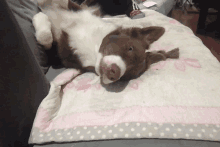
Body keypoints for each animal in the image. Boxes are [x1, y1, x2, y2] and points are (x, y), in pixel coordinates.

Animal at [33, 0, 180, 84]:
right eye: (130, 48)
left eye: (128, 75)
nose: (114, 73)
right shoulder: (77, 11)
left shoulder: (59, 54)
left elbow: (45, 36)